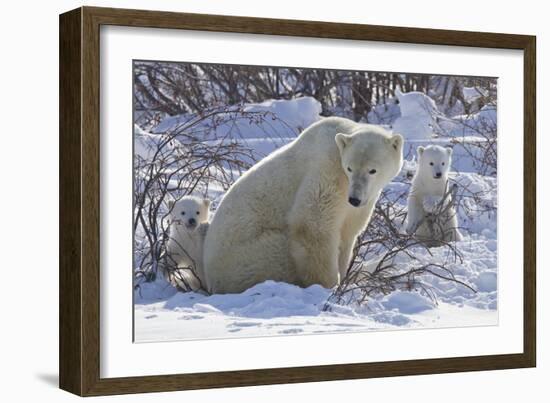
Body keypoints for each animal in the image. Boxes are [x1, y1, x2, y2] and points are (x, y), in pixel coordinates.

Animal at [204, 116, 406, 294]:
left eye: (373, 170)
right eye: (349, 168)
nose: (354, 199)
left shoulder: (362, 199)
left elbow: (348, 231)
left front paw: (345, 276)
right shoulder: (327, 169)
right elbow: (313, 225)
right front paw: (330, 285)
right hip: (251, 256)